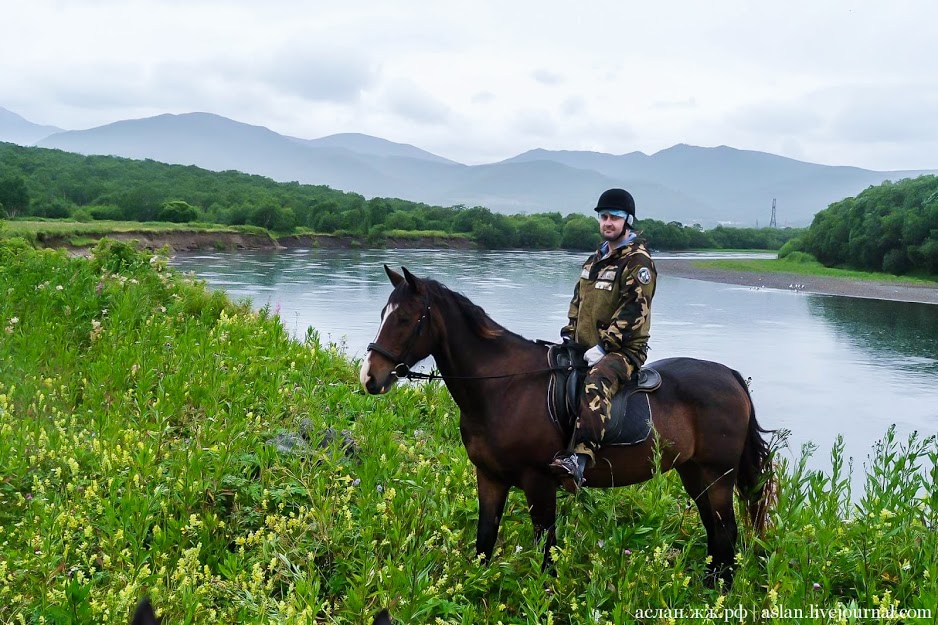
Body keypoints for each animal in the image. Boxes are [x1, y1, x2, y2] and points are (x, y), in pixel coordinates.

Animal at [358, 266, 768, 584]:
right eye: (381, 314)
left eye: (405, 319)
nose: (370, 377)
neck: (503, 386)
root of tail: (731, 377)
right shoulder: (489, 476)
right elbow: (485, 537)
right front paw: (476, 586)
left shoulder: (539, 481)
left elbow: (547, 546)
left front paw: (546, 596)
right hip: (695, 472)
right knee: (715, 531)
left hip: (718, 474)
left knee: (726, 531)